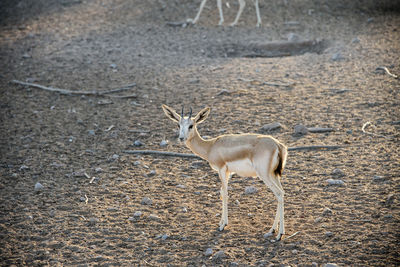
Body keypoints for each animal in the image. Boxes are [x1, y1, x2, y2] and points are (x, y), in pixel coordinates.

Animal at [162, 104, 288, 241]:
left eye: (191, 125)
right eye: (178, 125)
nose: (181, 138)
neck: (210, 146)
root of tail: (278, 145)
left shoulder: (221, 169)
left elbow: (225, 194)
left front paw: (223, 225)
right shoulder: (228, 172)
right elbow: (222, 193)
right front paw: (221, 222)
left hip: (265, 175)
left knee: (278, 193)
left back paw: (280, 234)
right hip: (273, 174)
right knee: (282, 192)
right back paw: (272, 230)